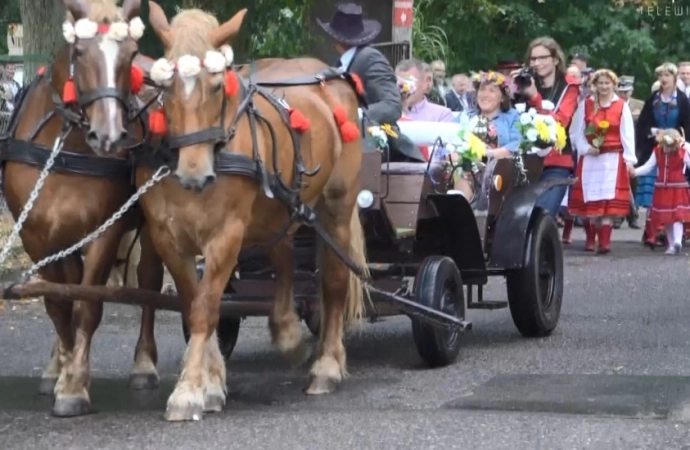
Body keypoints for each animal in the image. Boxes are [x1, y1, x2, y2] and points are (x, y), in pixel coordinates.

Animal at [2, 0, 163, 416]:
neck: (68, 147)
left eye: (131, 54)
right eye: (78, 52)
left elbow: (88, 304)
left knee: (149, 281)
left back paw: (144, 363)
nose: (108, 135)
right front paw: (63, 370)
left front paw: (74, 386)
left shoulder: (105, 230)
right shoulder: (37, 235)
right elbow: (59, 303)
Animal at [138, 3, 368, 420]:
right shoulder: (167, 238)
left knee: (334, 280)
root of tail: (331, 75)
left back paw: (326, 365)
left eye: (217, 86)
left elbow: (205, 308)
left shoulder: (226, 235)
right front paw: (211, 383)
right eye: (165, 87)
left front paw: (189, 391)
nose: (193, 174)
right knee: (285, 256)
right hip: (278, 207)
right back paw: (288, 330)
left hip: (337, 206)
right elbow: (196, 304)